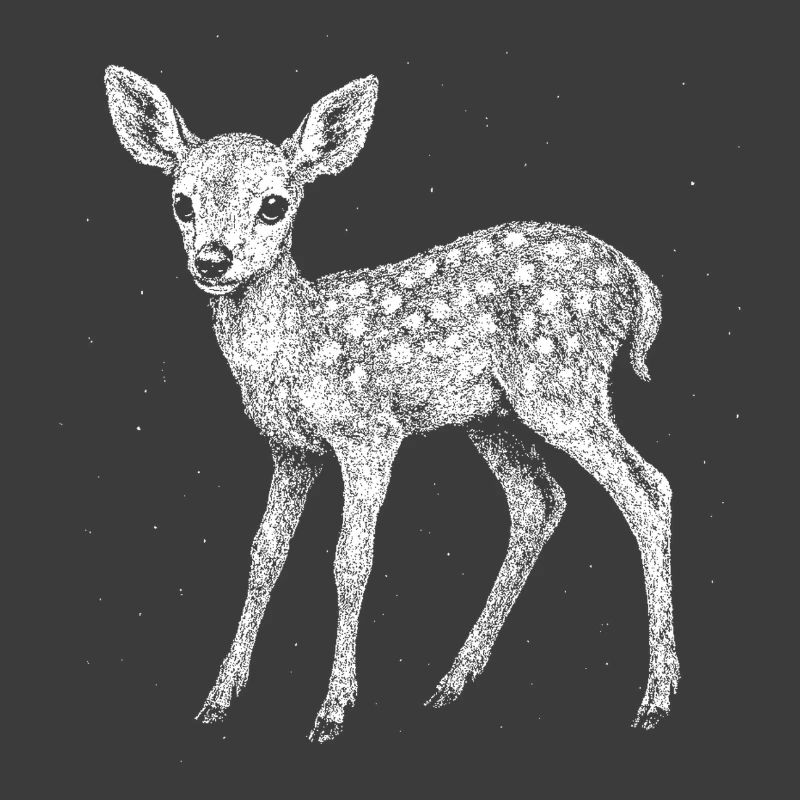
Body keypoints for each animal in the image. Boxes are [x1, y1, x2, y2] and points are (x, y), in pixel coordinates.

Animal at [104, 65, 680, 741]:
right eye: (181, 202)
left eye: (275, 204)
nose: (213, 260)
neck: (296, 343)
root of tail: (639, 284)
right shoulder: (291, 449)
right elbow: (264, 552)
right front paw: (219, 696)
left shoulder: (369, 434)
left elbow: (350, 559)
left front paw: (333, 708)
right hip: (494, 416)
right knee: (540, 501)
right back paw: (453, 680)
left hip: (562, 383)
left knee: (646, 487)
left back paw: (656, 698)